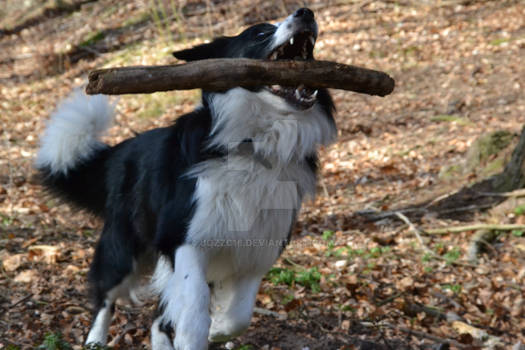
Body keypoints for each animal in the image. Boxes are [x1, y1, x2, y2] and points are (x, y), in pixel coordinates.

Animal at [35, 8, 336, 350]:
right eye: (259, 34)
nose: (306, 12)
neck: (256, 143)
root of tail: (119, 151)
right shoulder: (185, 238)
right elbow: (193, 313)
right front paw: (199, 333)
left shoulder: (257, 248)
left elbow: (239, 315)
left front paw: (218, 330)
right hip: (124, 248)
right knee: (106, 296)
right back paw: (95, 340)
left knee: (158, 317)